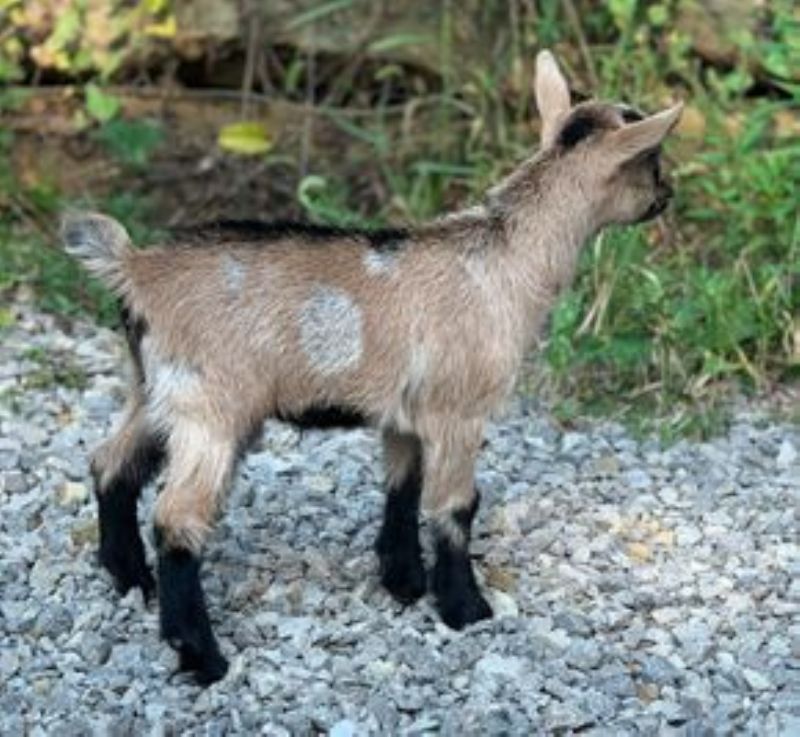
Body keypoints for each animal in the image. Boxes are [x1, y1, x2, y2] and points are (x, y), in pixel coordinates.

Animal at [59, 50, 680, 684]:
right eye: (651, 160)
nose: (669, 194)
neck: (505, 259)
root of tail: (133, 269)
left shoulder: (406, 413)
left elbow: (403, 489)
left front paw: (403, 581)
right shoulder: (460, 411)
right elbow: (454, 506)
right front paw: (465, 608)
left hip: (154, 391)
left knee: (111, 464)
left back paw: (130, 578)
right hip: (212, 408)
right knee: (177, 520)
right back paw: (202, 655)